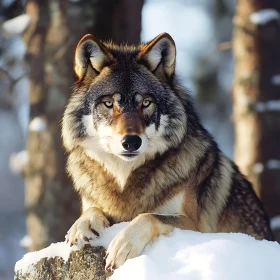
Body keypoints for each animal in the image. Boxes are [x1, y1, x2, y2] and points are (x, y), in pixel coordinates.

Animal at [61, 32, 274, 270]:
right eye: (108, 104)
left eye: (146, 103)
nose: (131, 142)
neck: (125, 179)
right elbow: (91, 210)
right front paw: (83, 224)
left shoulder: (194, 226)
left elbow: (149, 216)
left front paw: (124, 244)